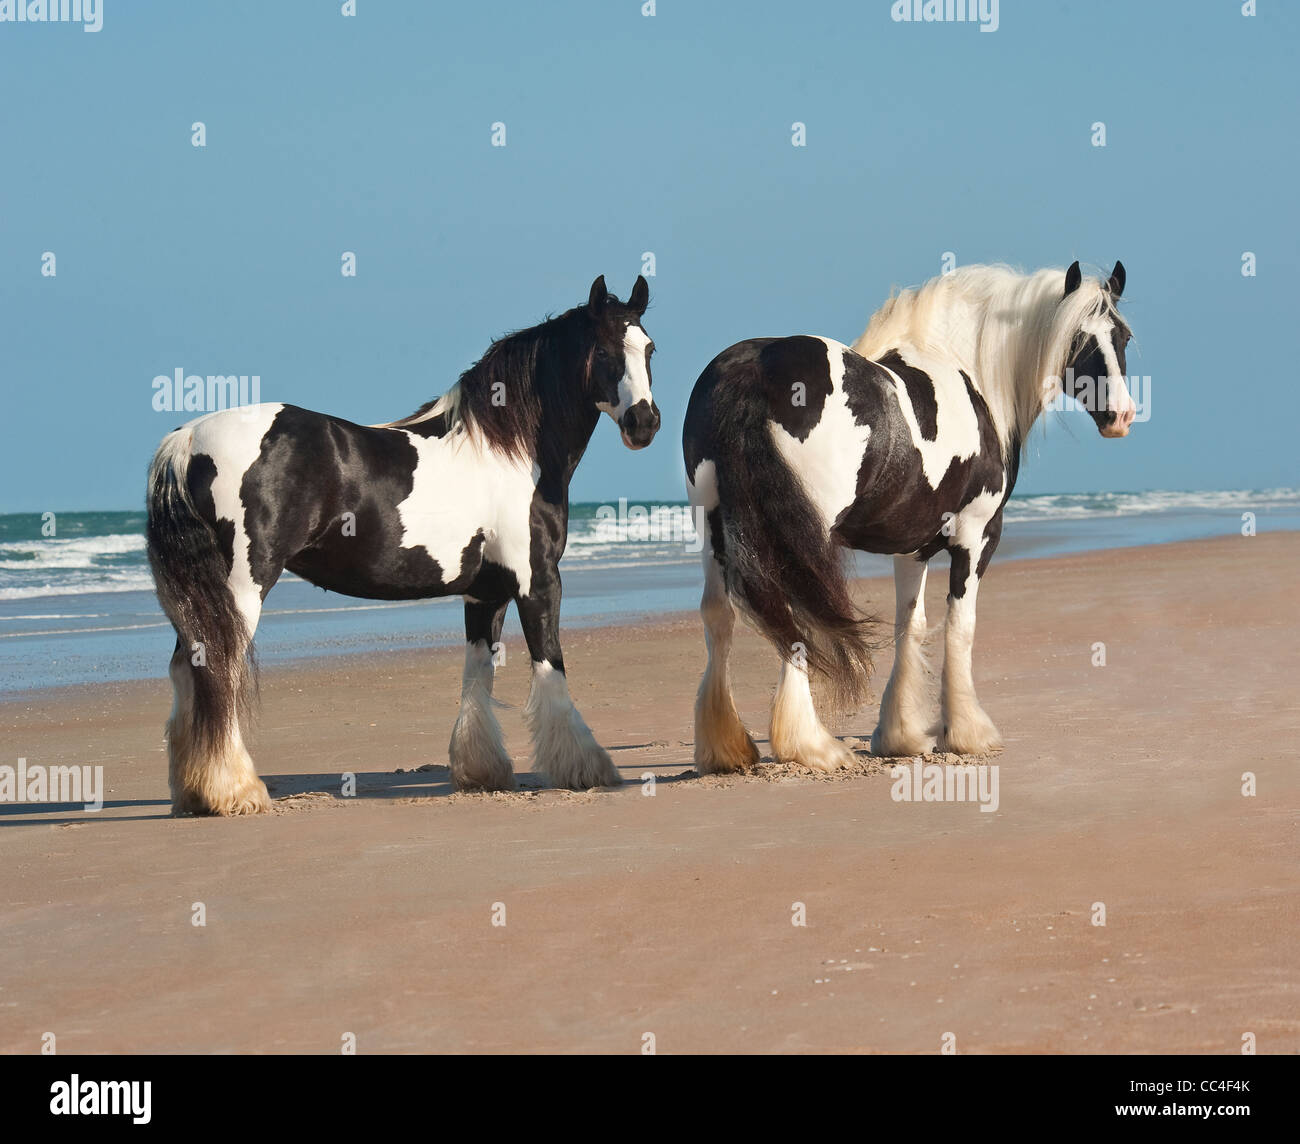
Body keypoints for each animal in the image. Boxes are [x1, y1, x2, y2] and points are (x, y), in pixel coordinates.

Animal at [147, 275, 660, 811]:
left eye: (649, 349)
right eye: (604, 350)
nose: (644, 423)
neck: (511, 451)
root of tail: (188, 439)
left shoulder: (485, 594)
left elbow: (478, 676)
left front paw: (482, 771)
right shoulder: (538, 582)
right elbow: (550, 666)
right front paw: (585, 767)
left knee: (188, 670)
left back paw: (195, 791)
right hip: (242, 589)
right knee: (218, 672)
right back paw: (237, 791)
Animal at [686, 263, 1133, 774]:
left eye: (1122, 336)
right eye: (1078, 340)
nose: (1121, 416)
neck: (966, 367)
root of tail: (755, 366)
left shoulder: (912, 546)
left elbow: (910, 626)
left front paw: (900, 734)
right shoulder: (977, 535)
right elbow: (960, 625)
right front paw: (968, 733)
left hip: (714, 528)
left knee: (719, 616)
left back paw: (725, 747)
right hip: (799, 536)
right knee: (788, 617)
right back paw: (811, 745)